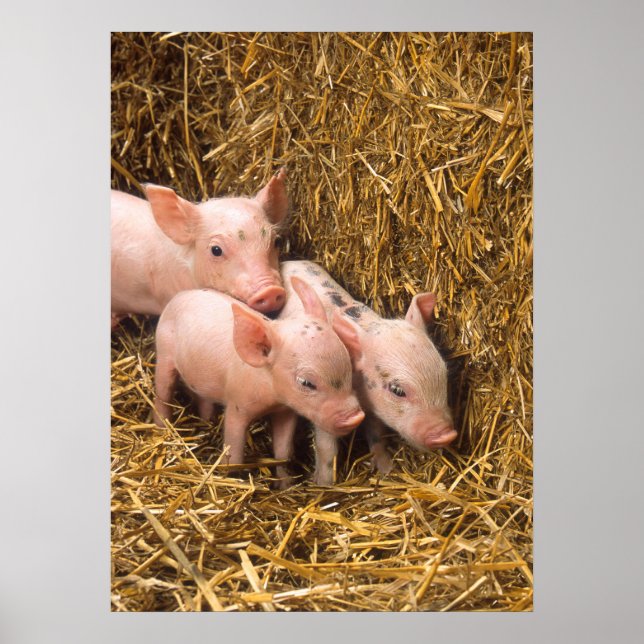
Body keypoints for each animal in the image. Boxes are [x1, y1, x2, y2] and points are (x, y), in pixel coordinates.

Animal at [153, 276, 365, 488]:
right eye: (306, 382)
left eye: (348, 365)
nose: (356, 417)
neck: (270, 398)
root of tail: (179, 296)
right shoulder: (236, 405)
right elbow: (234, 451)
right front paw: (234, 479)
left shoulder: (286, 411)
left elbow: (283, 451)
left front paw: (286, 486)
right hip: (164, 352)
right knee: (162, 394)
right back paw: (162, 427)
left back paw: (207, 420)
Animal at [279, 260, 457, 485]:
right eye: (398, 390)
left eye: (443, 375)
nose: (447, 435)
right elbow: (327, 446)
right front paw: (324, 484)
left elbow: (376, 434)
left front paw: (386, 470)